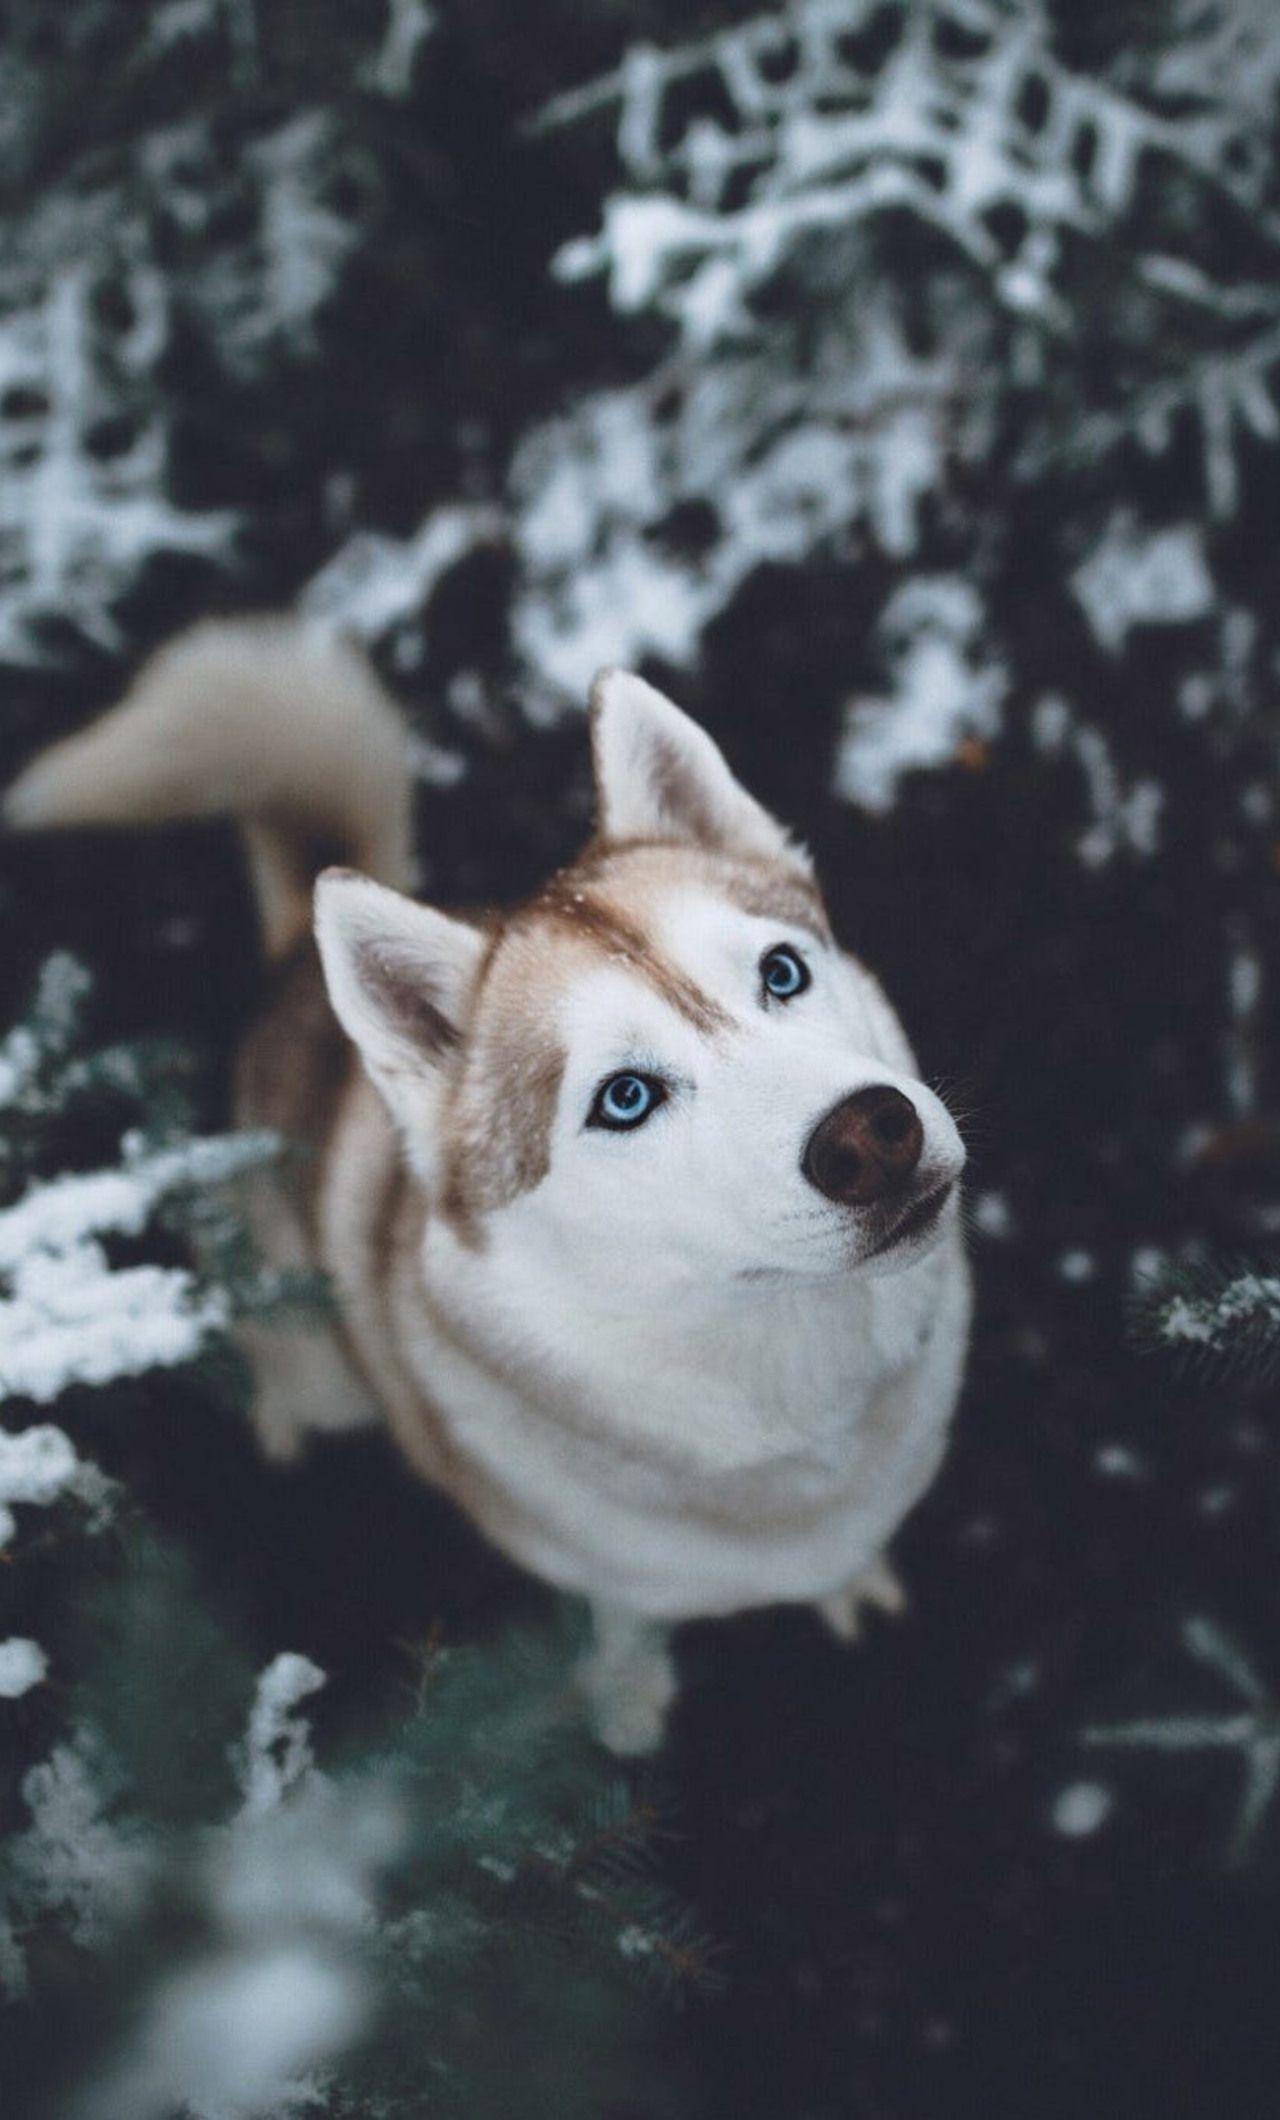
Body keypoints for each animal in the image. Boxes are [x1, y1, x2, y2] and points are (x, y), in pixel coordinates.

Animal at [5, 623, 970, 1755]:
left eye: (781, 972)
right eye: (624, 1097)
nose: (872, 1136)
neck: (788, 1402)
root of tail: (293, 975)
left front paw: (849, 1580)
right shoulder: (597, 1566)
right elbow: (626, 1620)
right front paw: (626, 1697)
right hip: (316, 1348)